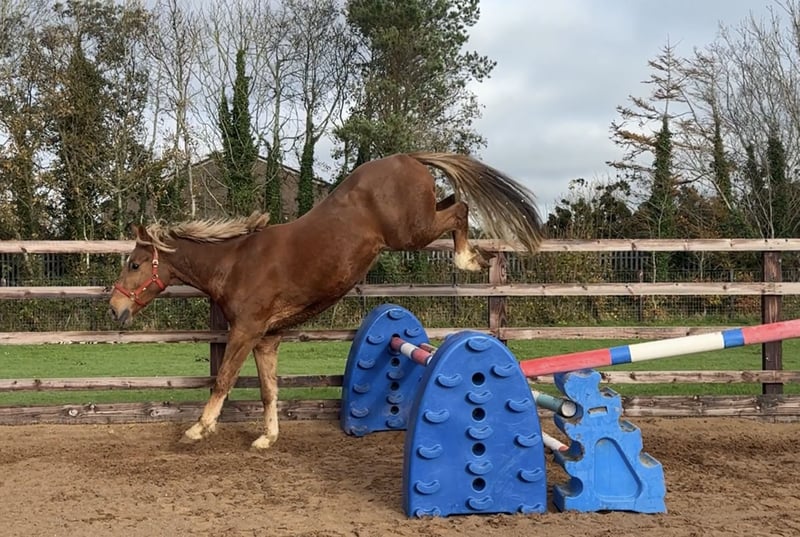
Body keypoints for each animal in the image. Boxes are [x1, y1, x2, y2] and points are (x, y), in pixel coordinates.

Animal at [108, 152, 542, 449]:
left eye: (134, 263)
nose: (115, 308)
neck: (234, 262)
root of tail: (408, 157)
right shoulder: (266, 339)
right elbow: (268, 389)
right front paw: (267, 438)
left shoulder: (245, 331)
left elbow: (224, 379)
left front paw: (198, 429)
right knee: (454, 201)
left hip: (412, 231)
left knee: (460, 209)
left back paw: (468, 258)